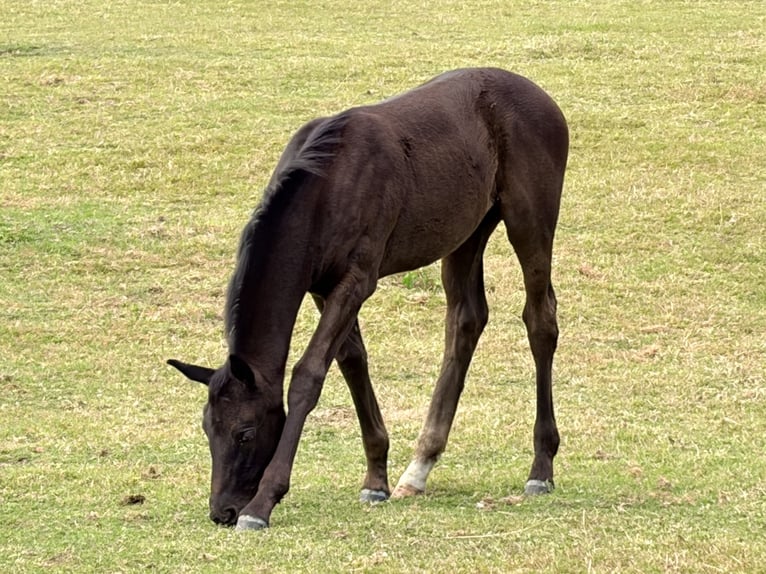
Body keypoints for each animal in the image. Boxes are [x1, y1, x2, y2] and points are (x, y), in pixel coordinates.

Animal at [168, 67, 568, 531]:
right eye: (207, 429)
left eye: (244, 433)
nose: (223, 511)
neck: (326, 184)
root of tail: (543, 98)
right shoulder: (323, 287)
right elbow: (351, 362)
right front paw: (376, 478)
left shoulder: (357, 281)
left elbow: (308, 376)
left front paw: (263, 502)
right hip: (466, 233)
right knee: (466, 321)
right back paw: (419, 466)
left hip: (529, 221)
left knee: (540, 320)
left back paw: (541, 467)